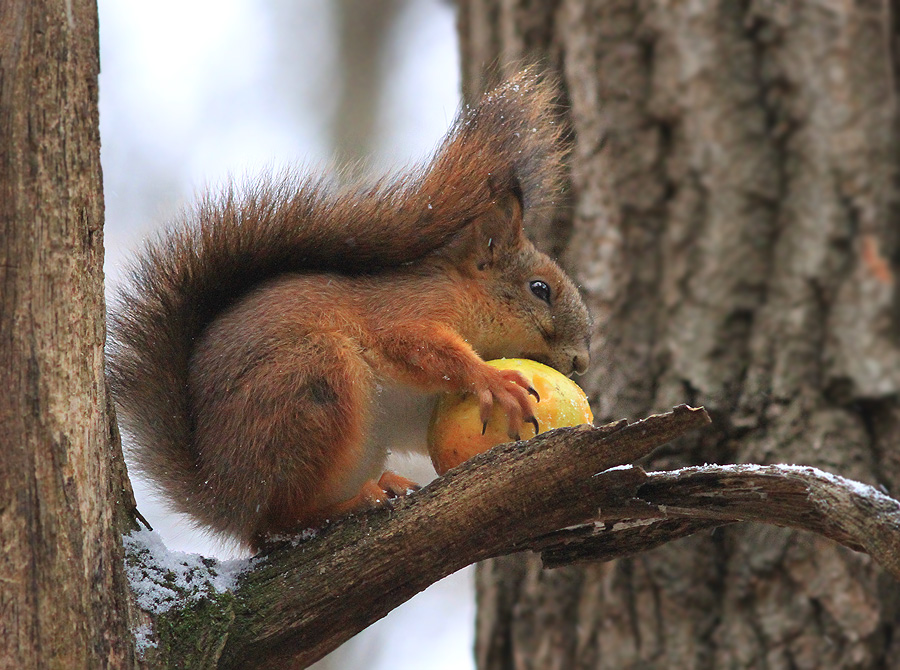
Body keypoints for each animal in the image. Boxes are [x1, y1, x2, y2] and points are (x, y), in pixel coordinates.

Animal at [109, 69, 596, 552]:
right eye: (540, 289)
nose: (581, 362)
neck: (465, 295)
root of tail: (224, 497)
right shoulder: (408, 310)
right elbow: (418, 345)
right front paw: (493, 379)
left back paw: (387, 484)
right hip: (310, 381)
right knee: (277, 525)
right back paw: (353, 503)